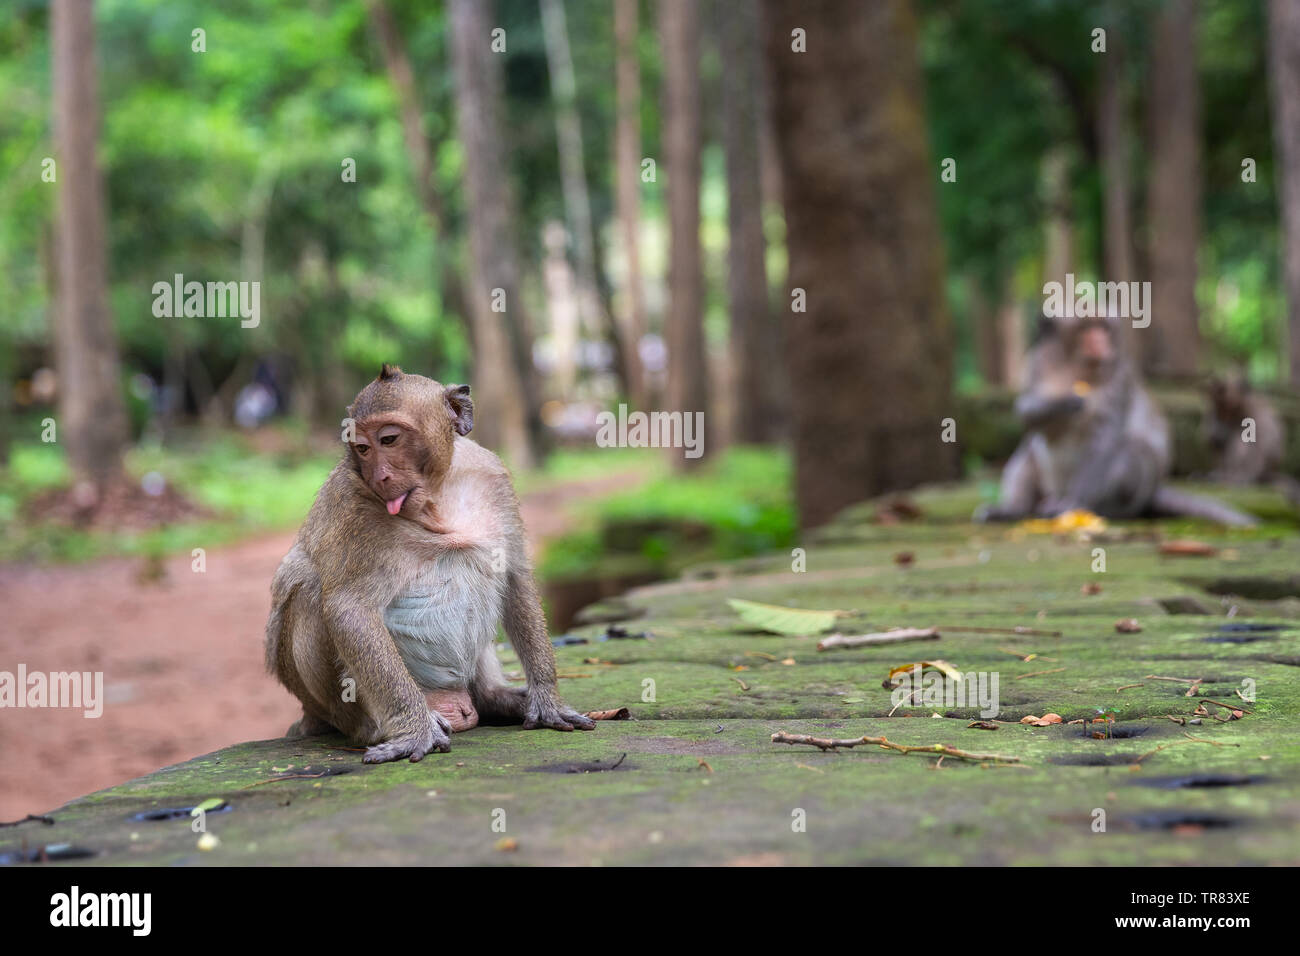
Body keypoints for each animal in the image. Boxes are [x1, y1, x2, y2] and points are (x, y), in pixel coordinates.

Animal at [266, 366, 595, 764]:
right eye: (362, 448)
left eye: (389, 439)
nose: (379, 476)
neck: (436, 497)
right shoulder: (351, 504)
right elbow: (349, 608)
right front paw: (414, 730)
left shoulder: (493, 475)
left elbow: (515, 577)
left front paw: (547, 699)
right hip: (328, 703)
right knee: (308, 587)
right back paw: (374, 727)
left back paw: (495, 698)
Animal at [977, 317, 1253, 528]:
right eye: (1087, 326)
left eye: (1104, 326)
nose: (1101, 342)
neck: (1076, 365)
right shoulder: (1036, 361)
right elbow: (1025, 411)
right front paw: (1063, 403)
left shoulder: (1119, 375)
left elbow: (1105, 438)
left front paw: (1075, 503)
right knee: (1028, 451)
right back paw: (1013, 509)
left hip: (1136, 492)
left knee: (1131, 449)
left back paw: (1096, 508)